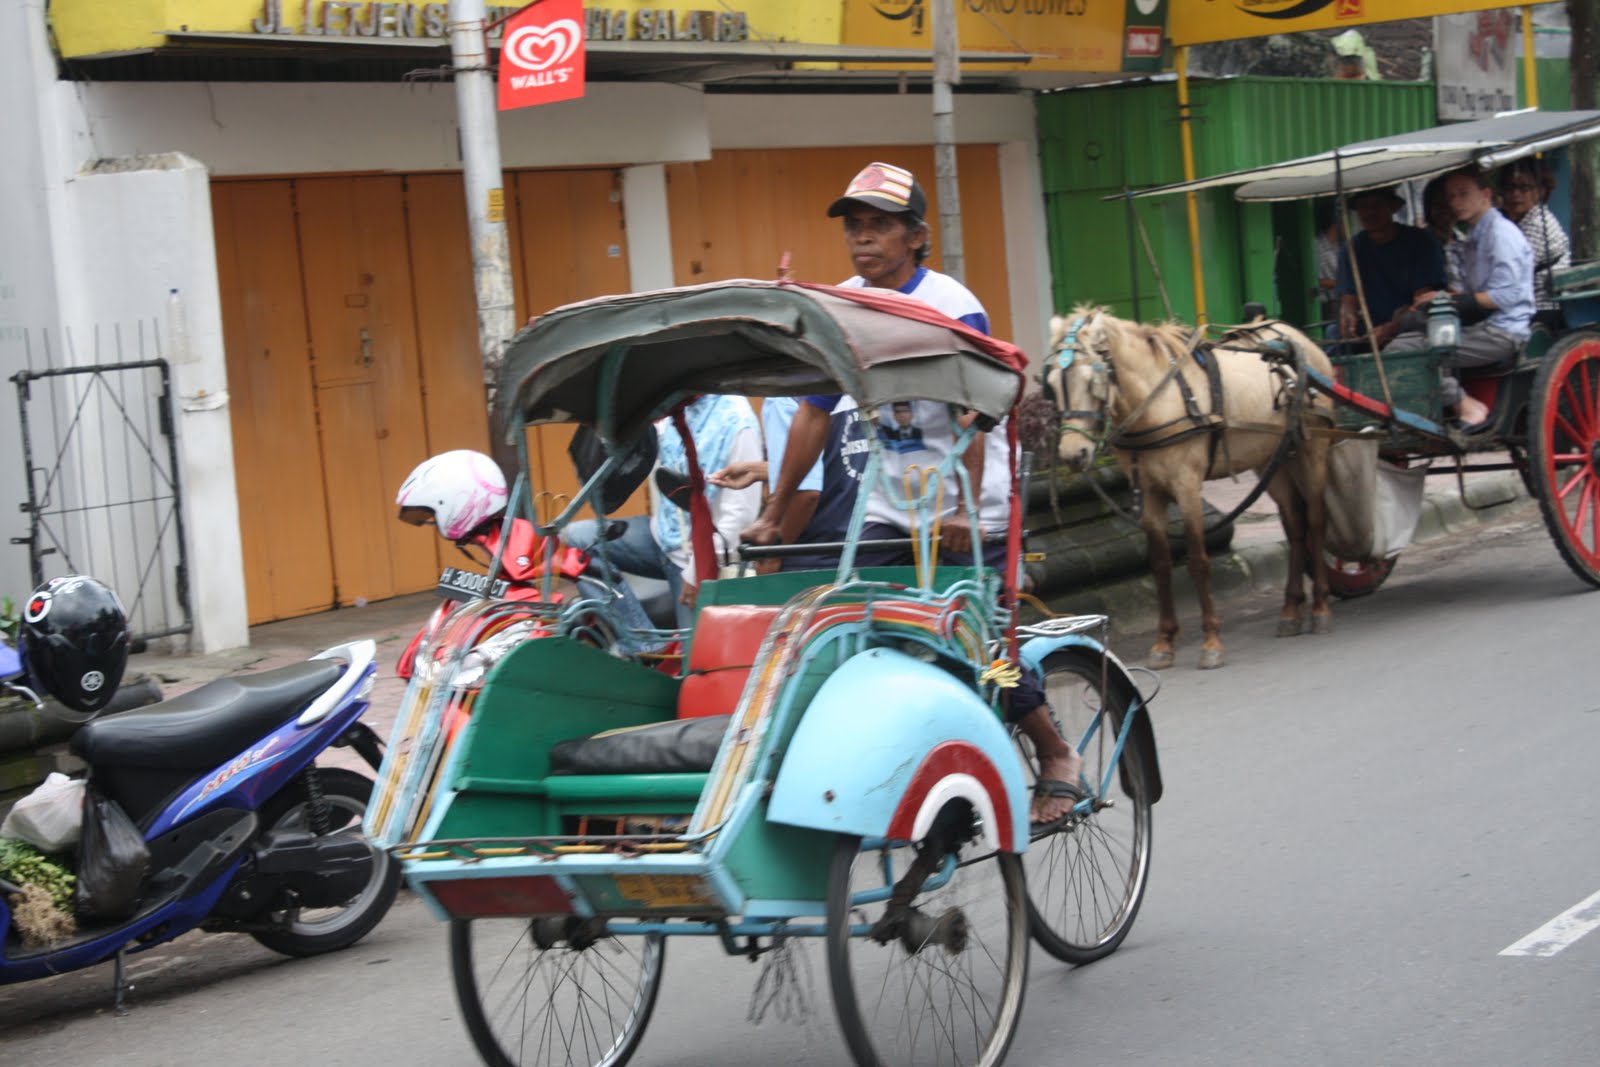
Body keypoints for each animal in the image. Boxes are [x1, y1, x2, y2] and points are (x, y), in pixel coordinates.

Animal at [1043, 307, 1344, 668]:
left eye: (1093, 380)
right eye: (1051, 385)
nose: (1073, 454)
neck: (1158, 400)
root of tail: (1298, 338)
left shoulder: (1186, 488)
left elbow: (1199, 562)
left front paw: (1211, 641)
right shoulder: (1150, 493)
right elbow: (1160, 566)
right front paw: (1163, 642)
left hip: (1314, 447)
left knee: (1315, 520)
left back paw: (1321, 607)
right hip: (1274, 458)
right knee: (1295, 526)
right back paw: (1289, 610)